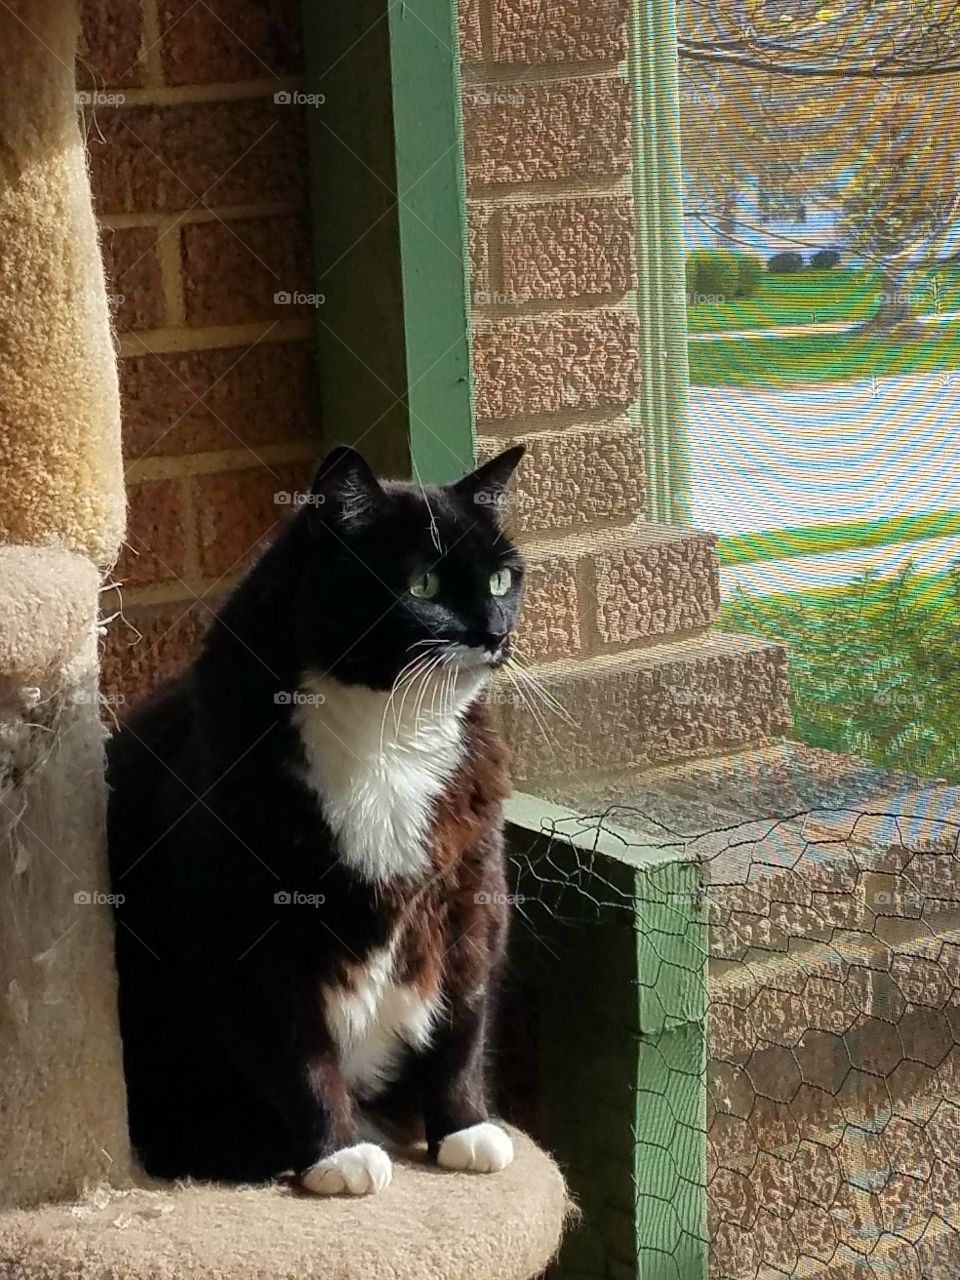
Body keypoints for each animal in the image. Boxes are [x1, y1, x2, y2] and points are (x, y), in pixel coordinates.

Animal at [106, 445, 527, 1192]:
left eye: (502, 578)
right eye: (422, 583)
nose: (496, 632)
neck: (389, 733)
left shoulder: (469, 895)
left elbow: (464, 1020)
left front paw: (466, 1129)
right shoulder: (248, 927)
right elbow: (296, 1050)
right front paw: (338, 1154)